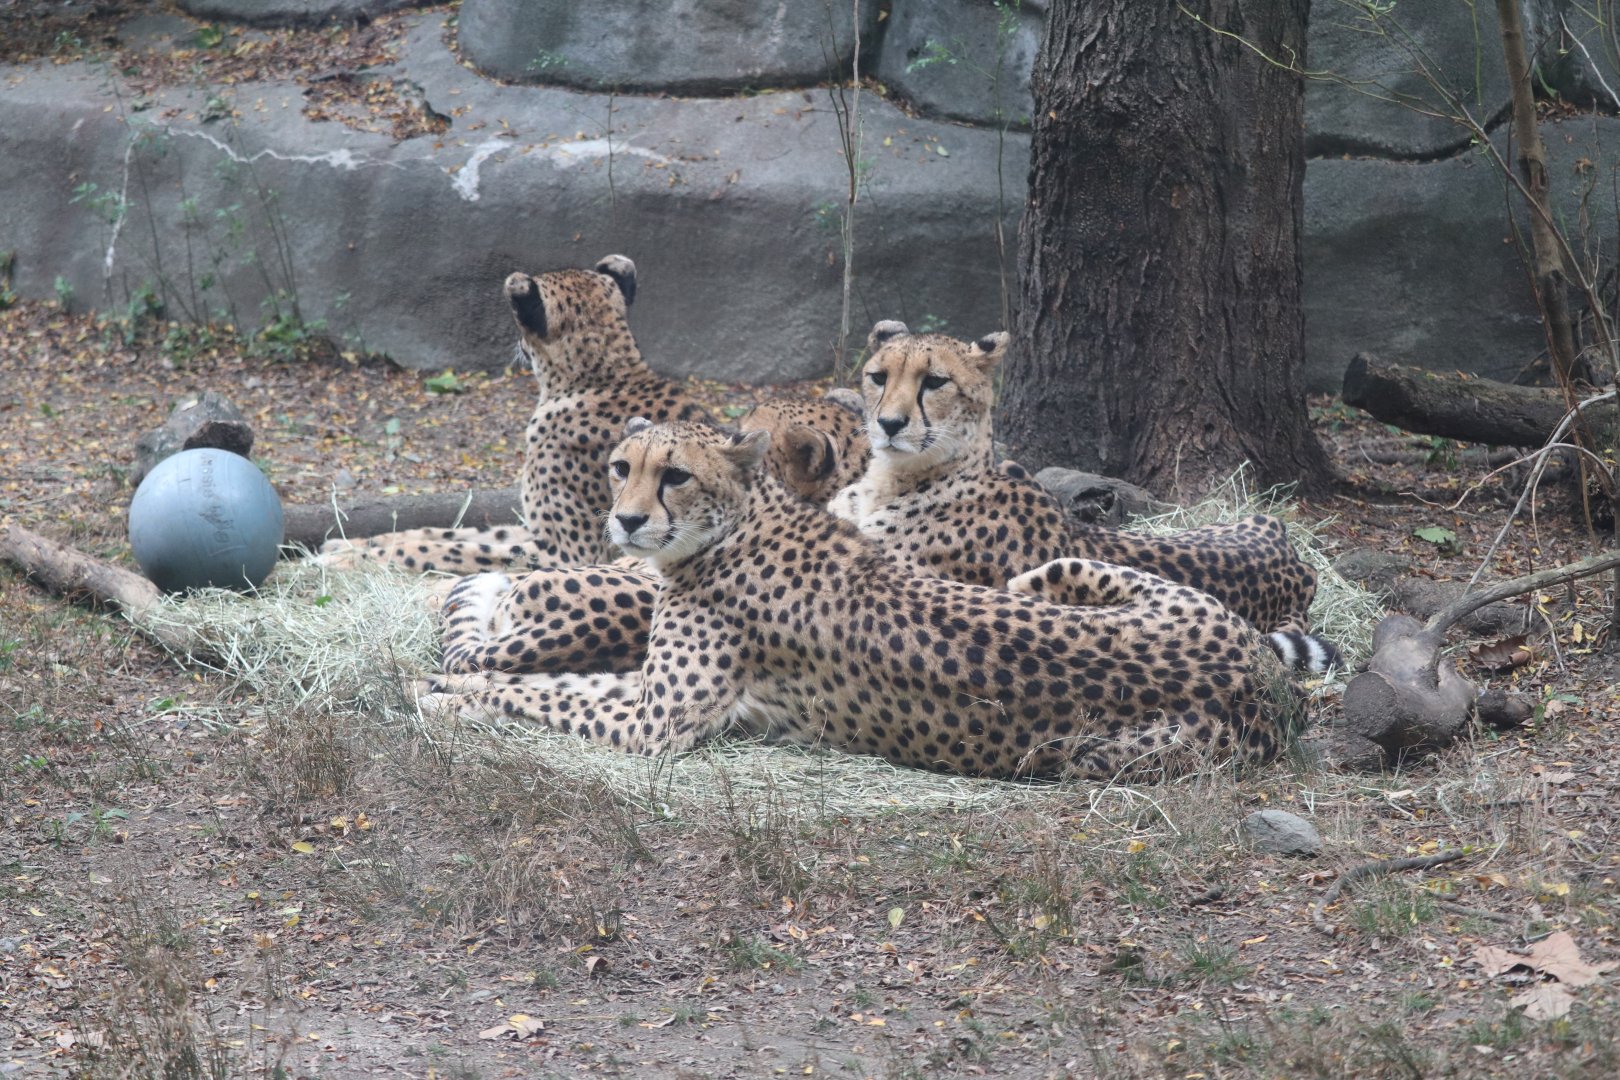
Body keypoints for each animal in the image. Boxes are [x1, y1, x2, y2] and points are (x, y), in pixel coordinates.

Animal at [318, 256, 868, 576]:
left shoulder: (569, 552)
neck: (603, 372)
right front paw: (356, 544)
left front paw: (357, 556)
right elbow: (456, 534)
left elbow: (460, 550)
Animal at [420, 419, 1303, 782]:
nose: (627, 520)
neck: (738, 524)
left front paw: (451, 693)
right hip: (1143, 590)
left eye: (674, 475)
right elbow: (553, 682)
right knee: (1058, 567)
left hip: (1094, 751)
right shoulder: (649, 694)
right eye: (620, 467)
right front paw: (452, 684)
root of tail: (1254, 674)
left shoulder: (654, 722)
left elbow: (547, 692)